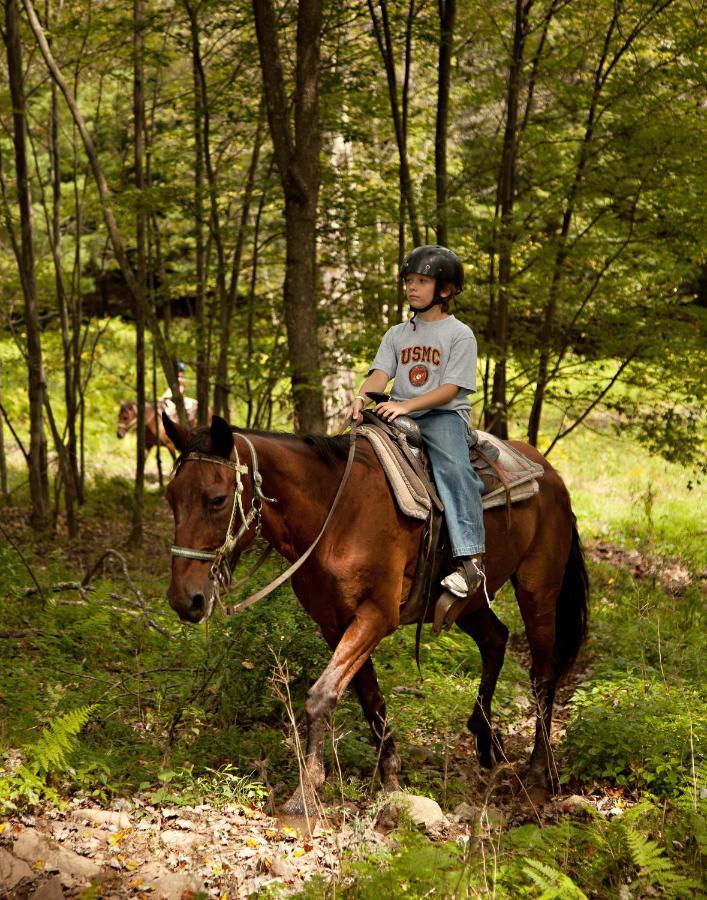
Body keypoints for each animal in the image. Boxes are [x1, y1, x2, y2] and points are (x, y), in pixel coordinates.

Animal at [163, 418, 588, 812]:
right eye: (171, 497)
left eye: (217, 499)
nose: (185, 600)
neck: (335, 515)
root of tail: (549, 472)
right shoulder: (335, 624)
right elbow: (369, 698)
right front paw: (390, 778)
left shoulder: (376, 616)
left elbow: (322, 696)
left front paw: (305, 796)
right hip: (469, 603)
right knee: (495, 639)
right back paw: (484, 740)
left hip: (537, 589)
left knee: (543, 672)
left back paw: (538, 773)